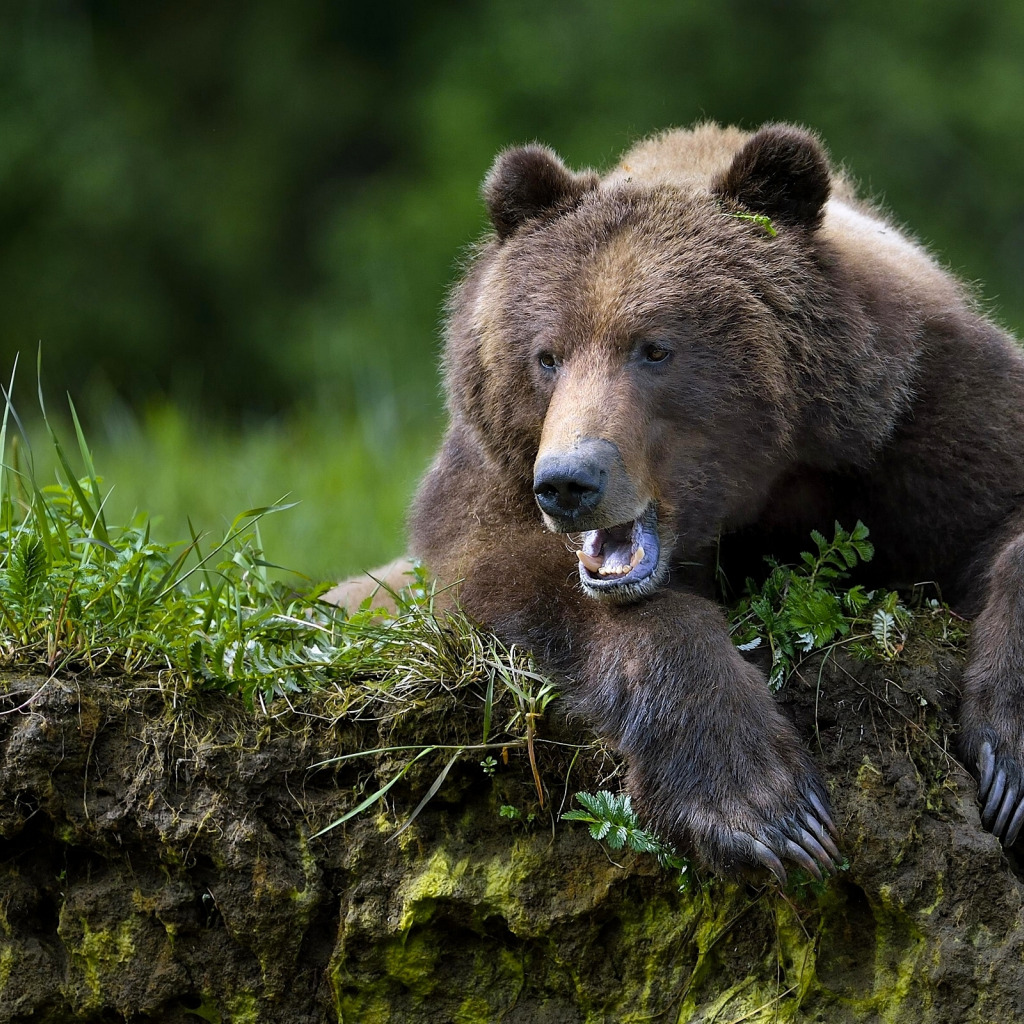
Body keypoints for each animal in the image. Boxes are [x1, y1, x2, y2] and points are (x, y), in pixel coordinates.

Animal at [331, 121, 1024, 880]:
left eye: (654, 349)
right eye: (546, 356)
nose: (569, 483)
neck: (763, 491)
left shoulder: (928, 419)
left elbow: (998, 520)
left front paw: (1006, 764)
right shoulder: (490, 478)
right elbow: (517, 575)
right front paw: (765, 807)